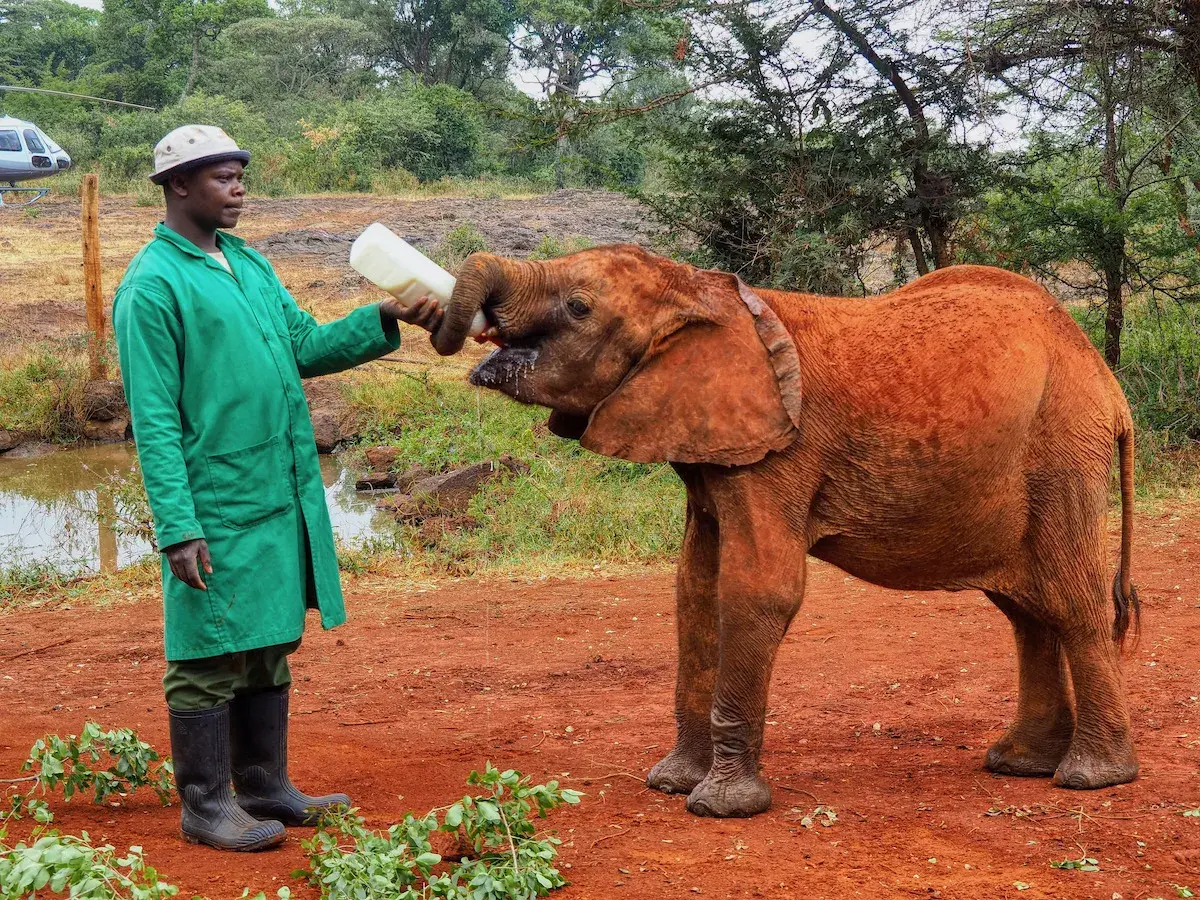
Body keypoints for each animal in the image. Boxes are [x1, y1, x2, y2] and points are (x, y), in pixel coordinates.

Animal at [430, 247, 1140, 818]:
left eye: (578, 308)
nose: (447, 323)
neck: (700, 289)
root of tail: (1108, 382)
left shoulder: (778, 454)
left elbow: (758, 589)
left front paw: (719, 807)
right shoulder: (712, 450)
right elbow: (695, 589)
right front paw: (671, 784)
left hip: (1062, 449)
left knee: (1073, 601)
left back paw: (1091, 779)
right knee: (1027, 610)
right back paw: (1020, 764)